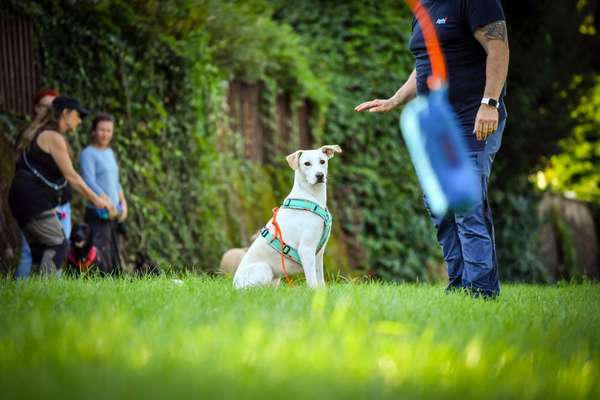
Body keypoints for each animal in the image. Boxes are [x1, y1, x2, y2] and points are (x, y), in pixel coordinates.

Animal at [232, 145, 340, 290]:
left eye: (322, 161)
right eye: (307, 163)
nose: (319, 175)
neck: (310, 197)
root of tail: (234, 285)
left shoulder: (318, 253)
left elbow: (319, 278)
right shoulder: (306, 249)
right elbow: (312, 281)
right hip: (263, 268)